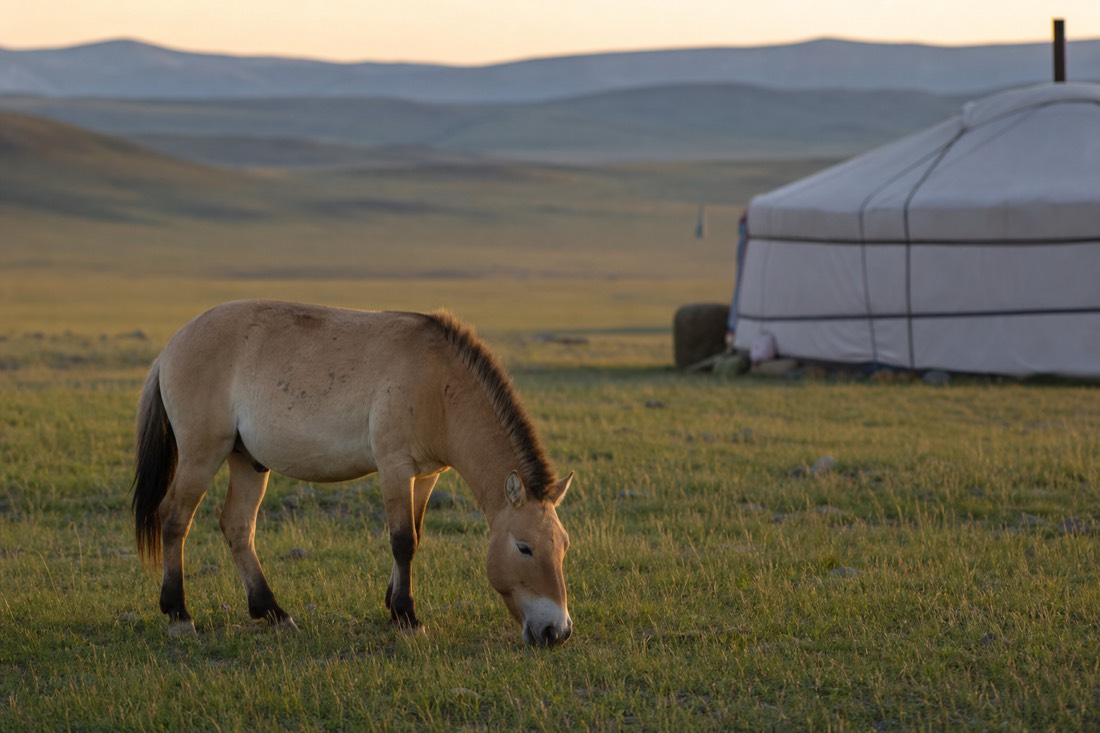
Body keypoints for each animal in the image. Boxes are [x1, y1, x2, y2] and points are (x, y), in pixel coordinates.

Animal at [131, 300, 573, 646]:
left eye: (563, 546)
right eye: (524, 547)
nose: (556, 631)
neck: (439, 384)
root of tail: (172, 347)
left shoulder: (427, 476)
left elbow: (415, 534)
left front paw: (393, 606)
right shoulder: (395, 467)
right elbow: (403, 540)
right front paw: (407, 617)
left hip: (247, 461)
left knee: (237, 527)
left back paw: (272, 612)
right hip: (202, 454)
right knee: (175, 518)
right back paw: (179, 616)